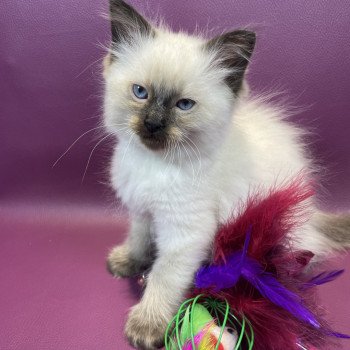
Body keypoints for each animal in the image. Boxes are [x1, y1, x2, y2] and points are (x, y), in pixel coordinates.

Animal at [102, 1, 348, 348]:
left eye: (184, 105)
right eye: (140, 92)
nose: (152, 124)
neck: (155, 164)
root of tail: (313, 212)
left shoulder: (186, 233)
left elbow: (164, 275)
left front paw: (147, 325)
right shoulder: (142, 210)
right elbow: (138, 239)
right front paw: (127, 262)